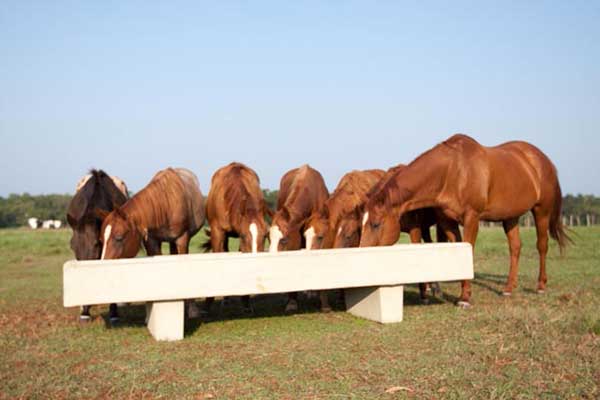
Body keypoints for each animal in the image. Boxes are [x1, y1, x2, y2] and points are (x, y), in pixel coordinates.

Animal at [96, 167, 204, 320]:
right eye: (101, 240)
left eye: (119, 237)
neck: (166, 203)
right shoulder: (152, 241)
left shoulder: (182, 239)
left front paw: (191, 309)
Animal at [358, 134, 568, 306]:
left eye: (376, 224)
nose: (362, 255)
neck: (453, 171)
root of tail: (542, 159)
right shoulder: (448, 222)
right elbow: (459, 254)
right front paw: (460, 294)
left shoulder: (472, 218)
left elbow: (468, 251)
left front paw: (465, 298)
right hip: (510, 216)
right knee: (515, 247)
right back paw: (508, 289)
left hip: (541, 211)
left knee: (542, 245)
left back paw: (540, 286)